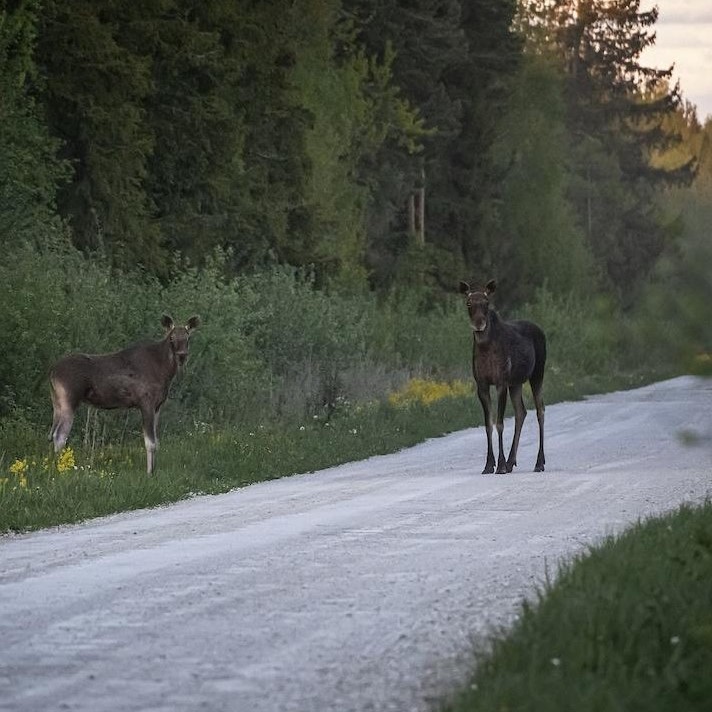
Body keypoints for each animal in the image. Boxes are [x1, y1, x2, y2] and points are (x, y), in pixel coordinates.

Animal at [48, 315, 200, 474]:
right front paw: (149, 473)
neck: (165, 373)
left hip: (57, 402)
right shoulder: (146, 402)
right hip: (68, 400)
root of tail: (52, 372)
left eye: (188, 337)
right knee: (60, 435)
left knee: (52, 434)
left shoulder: (158, 406)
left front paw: (154, 470)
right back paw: (61, 469)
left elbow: (157, 442)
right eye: (171, 338)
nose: (182, 356)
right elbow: (150, 443)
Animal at [459, 279, 546, 474]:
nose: (479, 323)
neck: (485, 348)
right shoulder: (482, 384)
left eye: (486, 302)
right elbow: (488, 424)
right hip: (516, 383)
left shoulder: (501, 382)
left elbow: (499, 423)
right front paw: (488, 465)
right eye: (468, 303)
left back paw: (539, 462)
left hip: (537, 374)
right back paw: (511, 461)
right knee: (521, 411)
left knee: (540, 410)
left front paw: (499, 465)